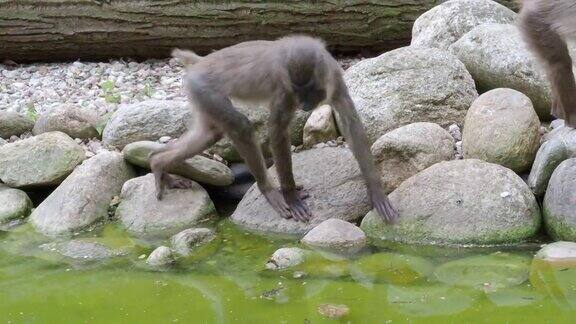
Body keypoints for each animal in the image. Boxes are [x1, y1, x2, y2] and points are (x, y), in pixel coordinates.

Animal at [151, 34, 398, 223]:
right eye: (299, 92)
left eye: (310, 90)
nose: (304, 104)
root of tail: (200, 62)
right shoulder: (285, 89)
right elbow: (278, 130)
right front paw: (291, 196)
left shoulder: (334, 76)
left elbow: (351, 124)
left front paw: (376, 190)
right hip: (204, 87)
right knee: (240, 127)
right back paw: (268, 190)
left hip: (200, 94)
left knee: (211, 133)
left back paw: (158, 162)